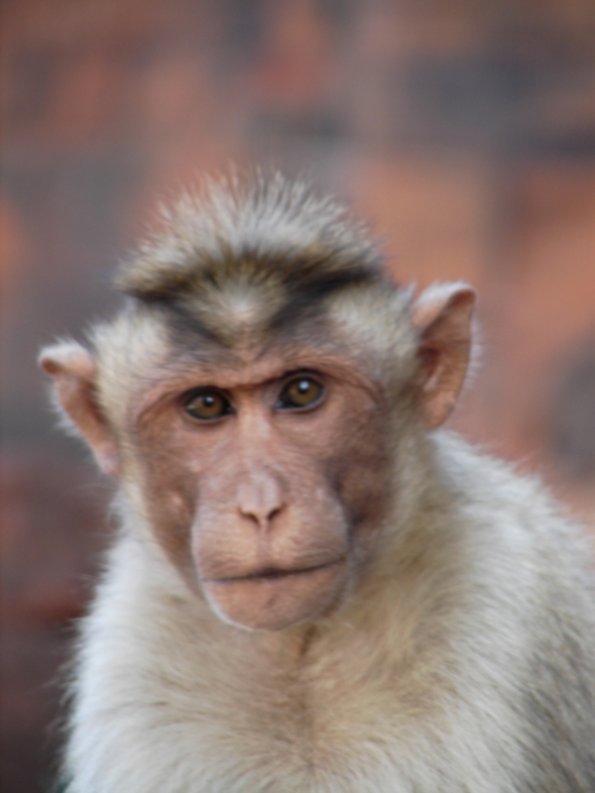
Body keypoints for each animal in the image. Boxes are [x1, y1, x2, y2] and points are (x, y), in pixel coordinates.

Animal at [40, 173, 595, 793]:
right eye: (206, 405)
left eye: (302, 391)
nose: (260, 506)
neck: (300, 649)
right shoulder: (130, 657)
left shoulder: (504, 605)